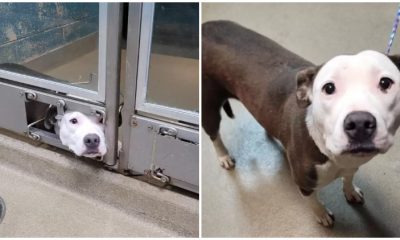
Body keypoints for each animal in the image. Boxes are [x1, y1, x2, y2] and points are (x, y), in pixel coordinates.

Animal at [203, 20, 400, 227]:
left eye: (385, 83)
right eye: (329, 88)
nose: (359, 122)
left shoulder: (351, 165)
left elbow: (348, 177)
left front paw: (350, 191)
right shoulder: (304, 182)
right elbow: (313, 201)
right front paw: (322, 214)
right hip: (209, 105)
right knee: (213, 133)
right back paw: (224, 156)